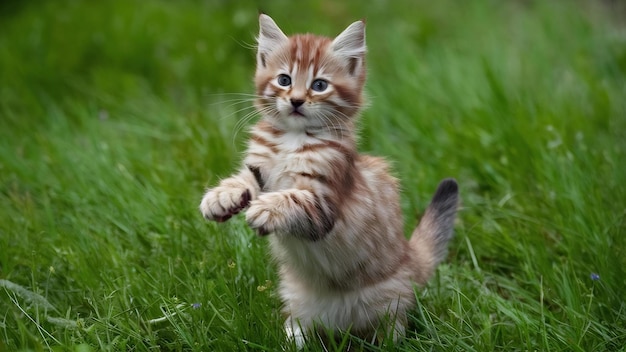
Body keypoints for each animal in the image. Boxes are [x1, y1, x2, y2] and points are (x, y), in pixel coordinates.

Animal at [201, 14, 458, 350]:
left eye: (319, 85)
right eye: (284, 80)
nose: (296, 101)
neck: (293, 139)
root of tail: (410, 256)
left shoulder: (323, 202)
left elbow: (292, 197)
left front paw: (266, 210)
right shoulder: (260, 168)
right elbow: (244, 179)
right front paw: (221, 197)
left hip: (391, 299)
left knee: (393, 326)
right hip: (296, 299)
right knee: (299, 325)